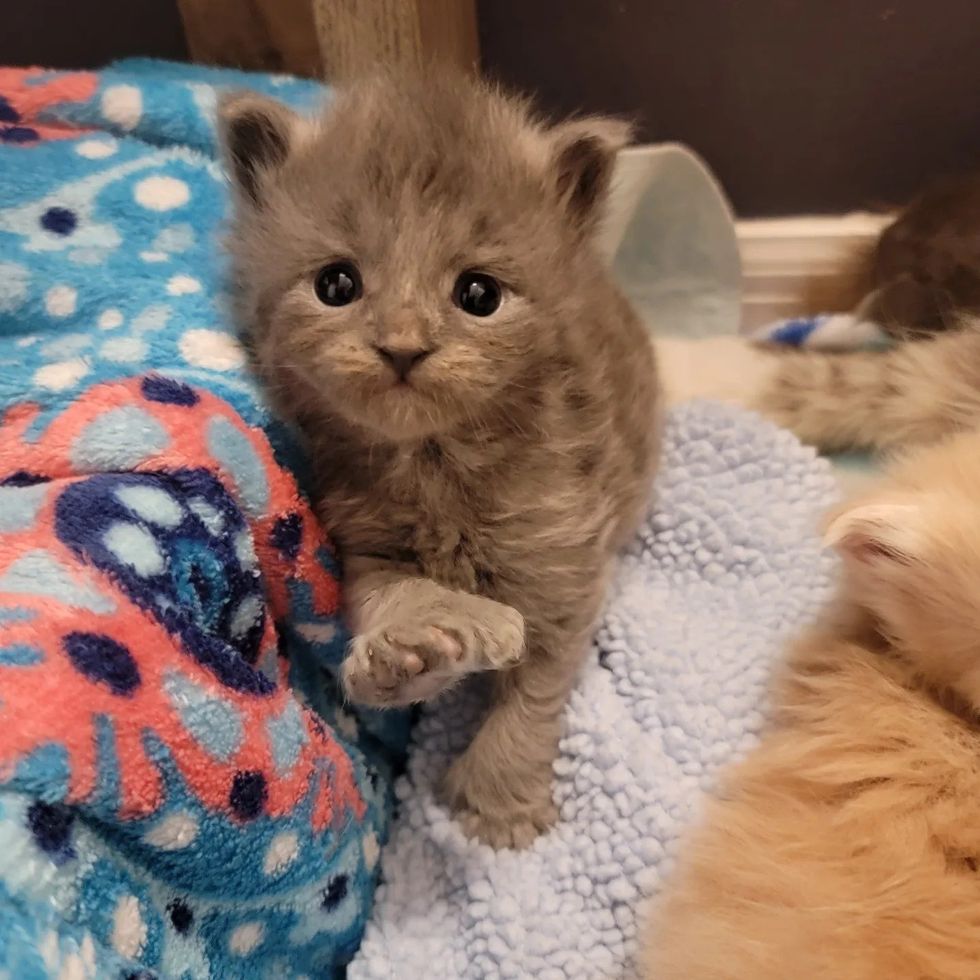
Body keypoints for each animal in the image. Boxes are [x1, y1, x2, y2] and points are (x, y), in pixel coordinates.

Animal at [218, 72, 664, 848]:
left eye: (478, 293)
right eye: (336, 285)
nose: (402, 346)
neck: (436, 463)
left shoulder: (564, 566)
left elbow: (534, 695)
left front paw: (499, 804)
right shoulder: (367, 546)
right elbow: (397, 597)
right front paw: (415, 645)